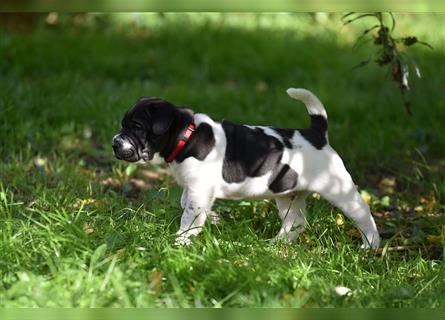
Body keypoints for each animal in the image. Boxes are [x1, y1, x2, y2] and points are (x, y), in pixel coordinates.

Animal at [112, 89, 380, 249]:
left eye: (136, 127)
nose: (115, 143)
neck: (186, 135)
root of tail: (316, 134)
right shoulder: (193, 188)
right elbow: (187, 204)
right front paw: (211, 218)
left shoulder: (199, 188)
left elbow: (190, 215)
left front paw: (181, 239)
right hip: (288, 194)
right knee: (296, 222)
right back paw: (276, 246)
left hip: (338, 189)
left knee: (363, 213)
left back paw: (370, 245)